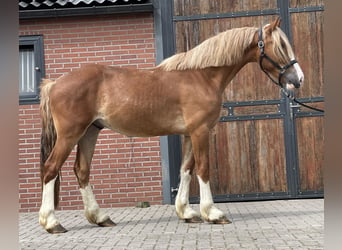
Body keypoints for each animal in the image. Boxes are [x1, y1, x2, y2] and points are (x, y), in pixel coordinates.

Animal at [38, 18, 304, 234]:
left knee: (81, 171)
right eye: (280, 47)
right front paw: (213, 213)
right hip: (71, 134)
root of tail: (54, 83)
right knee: (51, 168)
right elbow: (203, 169)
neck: (202, 76)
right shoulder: (200, 131)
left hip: (89, 132)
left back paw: (100, 217)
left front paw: (187, 212)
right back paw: (52, 222)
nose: (298, 79)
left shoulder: (189, 134)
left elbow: (186, 170)